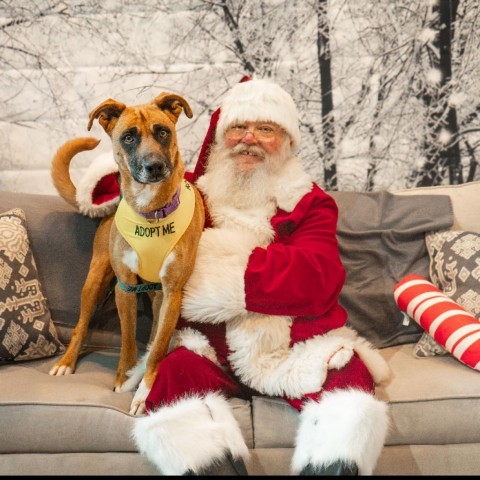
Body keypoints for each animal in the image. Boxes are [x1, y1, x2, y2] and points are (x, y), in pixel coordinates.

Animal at [48, 93, 204, 412]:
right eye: (128, 137)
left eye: (163, 132)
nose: (154, 166)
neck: (151, 214)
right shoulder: (125, 288)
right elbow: (128, 338)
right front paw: (123, 378)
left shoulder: (172, 292)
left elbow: (157, 346)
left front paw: (144, 390)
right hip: (94, 280)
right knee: (80, 325)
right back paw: (66, 362)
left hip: (157, 296)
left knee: (155, 333)